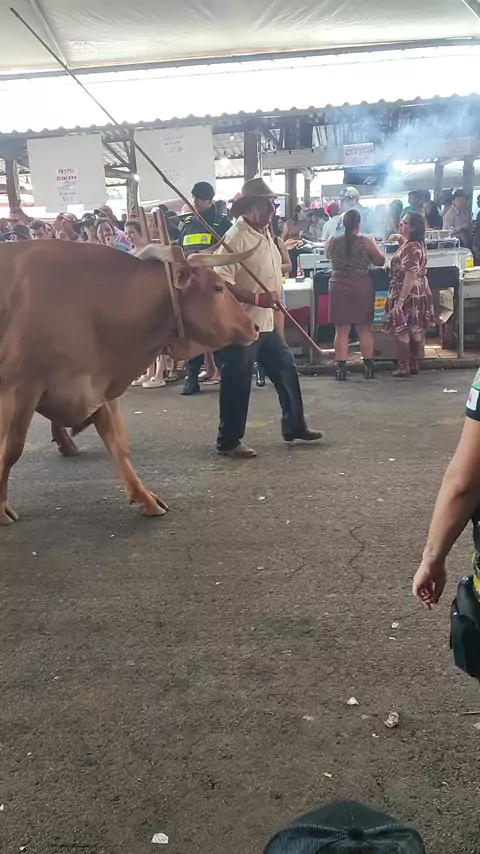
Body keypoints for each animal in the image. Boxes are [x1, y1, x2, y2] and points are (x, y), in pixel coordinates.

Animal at [0, 240, 259, 525]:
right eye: (218, 287)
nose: (255, 327)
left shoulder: (100, 385)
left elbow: (118, 444)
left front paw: (145, 498)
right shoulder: (19, 388)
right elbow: (11, 449)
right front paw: (1, 508)